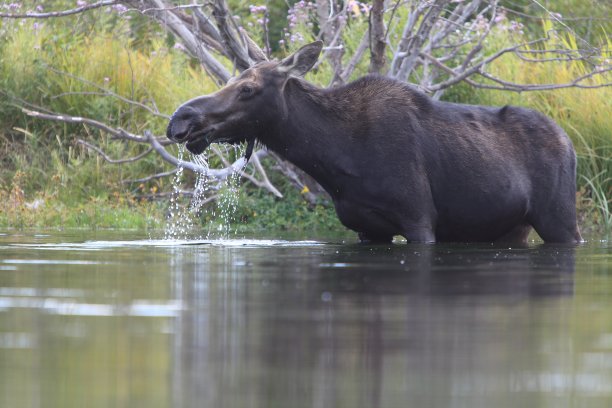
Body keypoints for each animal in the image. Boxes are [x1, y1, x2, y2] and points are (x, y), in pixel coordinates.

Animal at [166, 41, 584, 244]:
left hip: (560, 219)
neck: (336, 162)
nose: (180, 120)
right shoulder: (368, 228)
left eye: (248, 88)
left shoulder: (419, 219)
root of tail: (570, 144)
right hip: (511, 227)